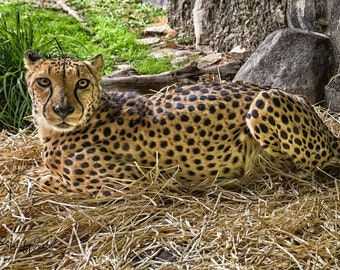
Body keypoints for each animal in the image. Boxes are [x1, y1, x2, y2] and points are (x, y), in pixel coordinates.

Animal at [23, 50, 340, 197]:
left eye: (82, 83)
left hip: (266, 100)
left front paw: (38, 177)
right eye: (44, 82)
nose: (63, 109)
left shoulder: (125, 183)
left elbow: (41, 180)